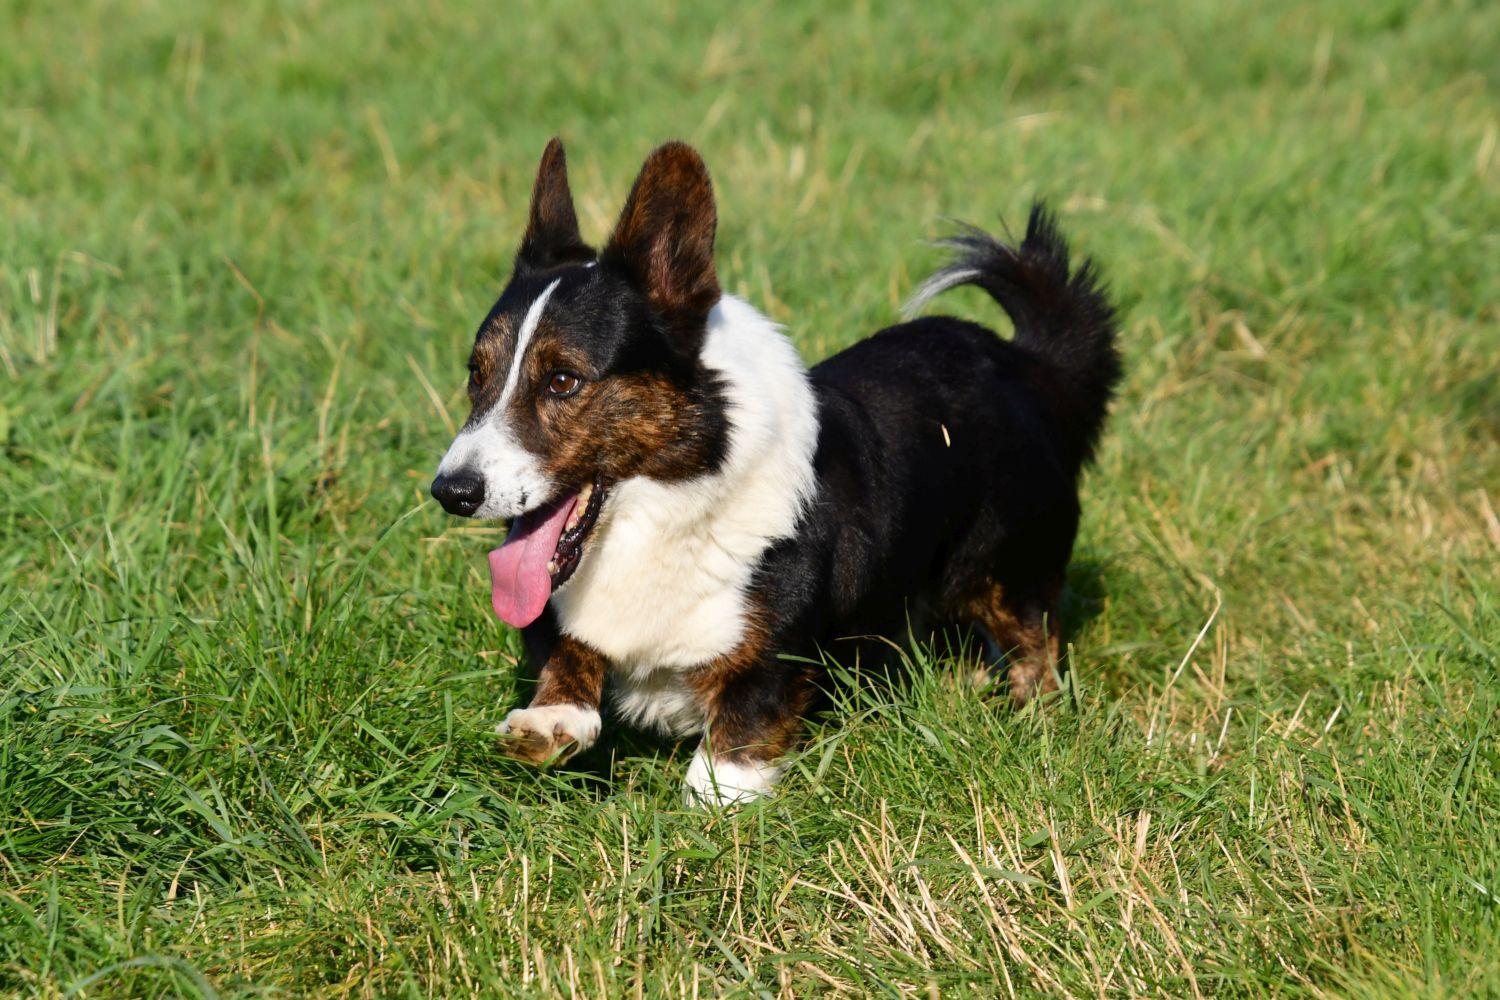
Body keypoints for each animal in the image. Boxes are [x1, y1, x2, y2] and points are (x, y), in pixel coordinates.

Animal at [429, 138, 1122, 803]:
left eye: (563, 380)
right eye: (476, 374)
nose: (450, 492)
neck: (669, 508)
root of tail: (1027, 363)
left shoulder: (769, 669)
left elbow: (724, 765)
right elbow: (570, 654)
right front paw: (550, 720)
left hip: (1002, 570)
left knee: (1036, 642)